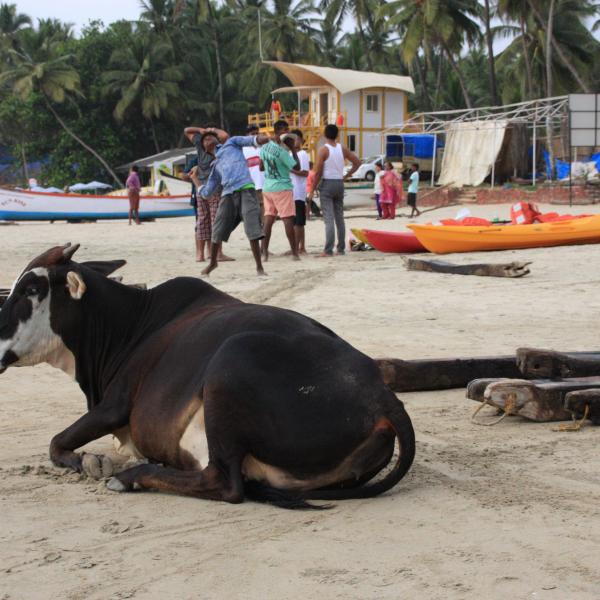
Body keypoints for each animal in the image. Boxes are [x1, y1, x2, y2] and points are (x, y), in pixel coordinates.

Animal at [0, 244, 414, 506]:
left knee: (224, 483)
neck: (127, 326)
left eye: (31, 288)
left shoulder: (114, 405)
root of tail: (383, 397)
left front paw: (89, 462)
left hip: (229, 364)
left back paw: (132, 476)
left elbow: (56, 442)